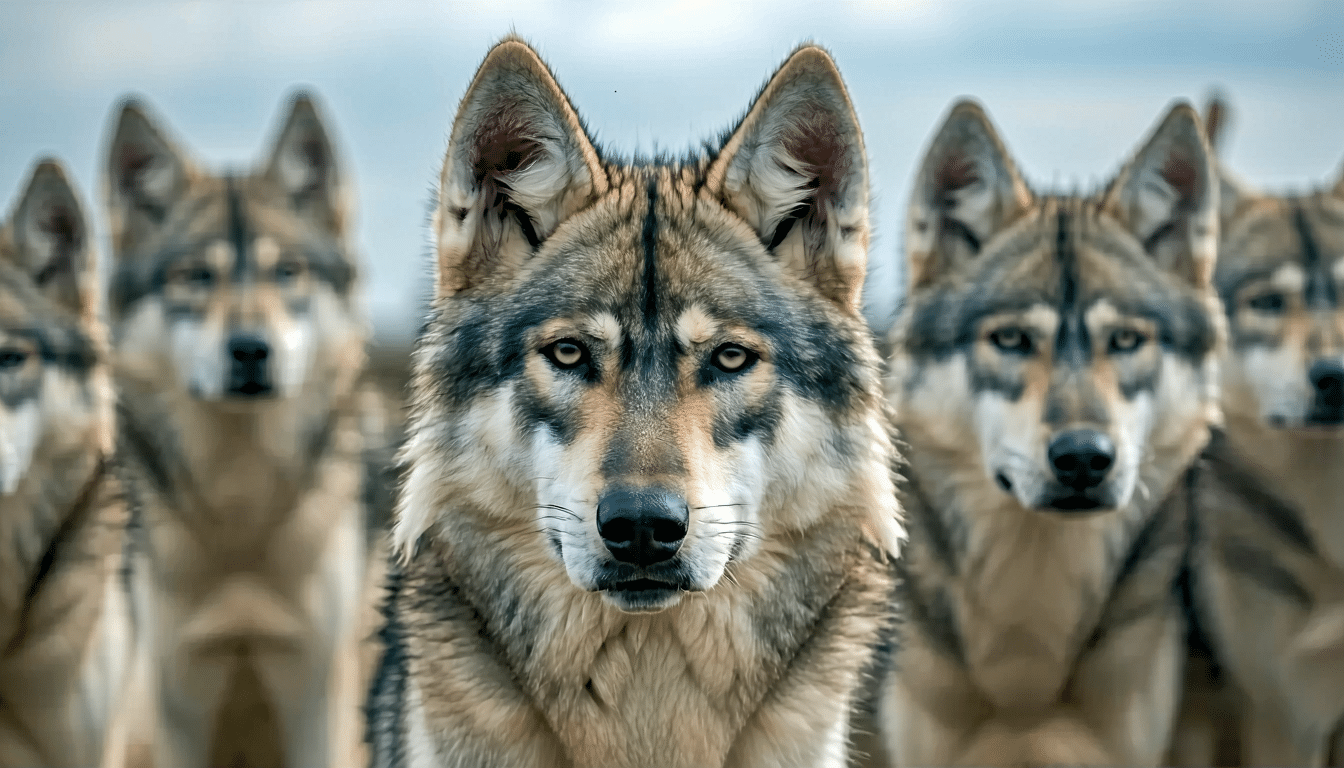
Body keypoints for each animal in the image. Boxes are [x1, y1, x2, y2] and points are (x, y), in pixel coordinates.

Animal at [101, 91, 388, 768]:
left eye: (287, 272)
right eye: (195, 277)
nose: (251, 350)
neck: (242, 512)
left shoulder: (315, 696)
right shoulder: (181, 697)